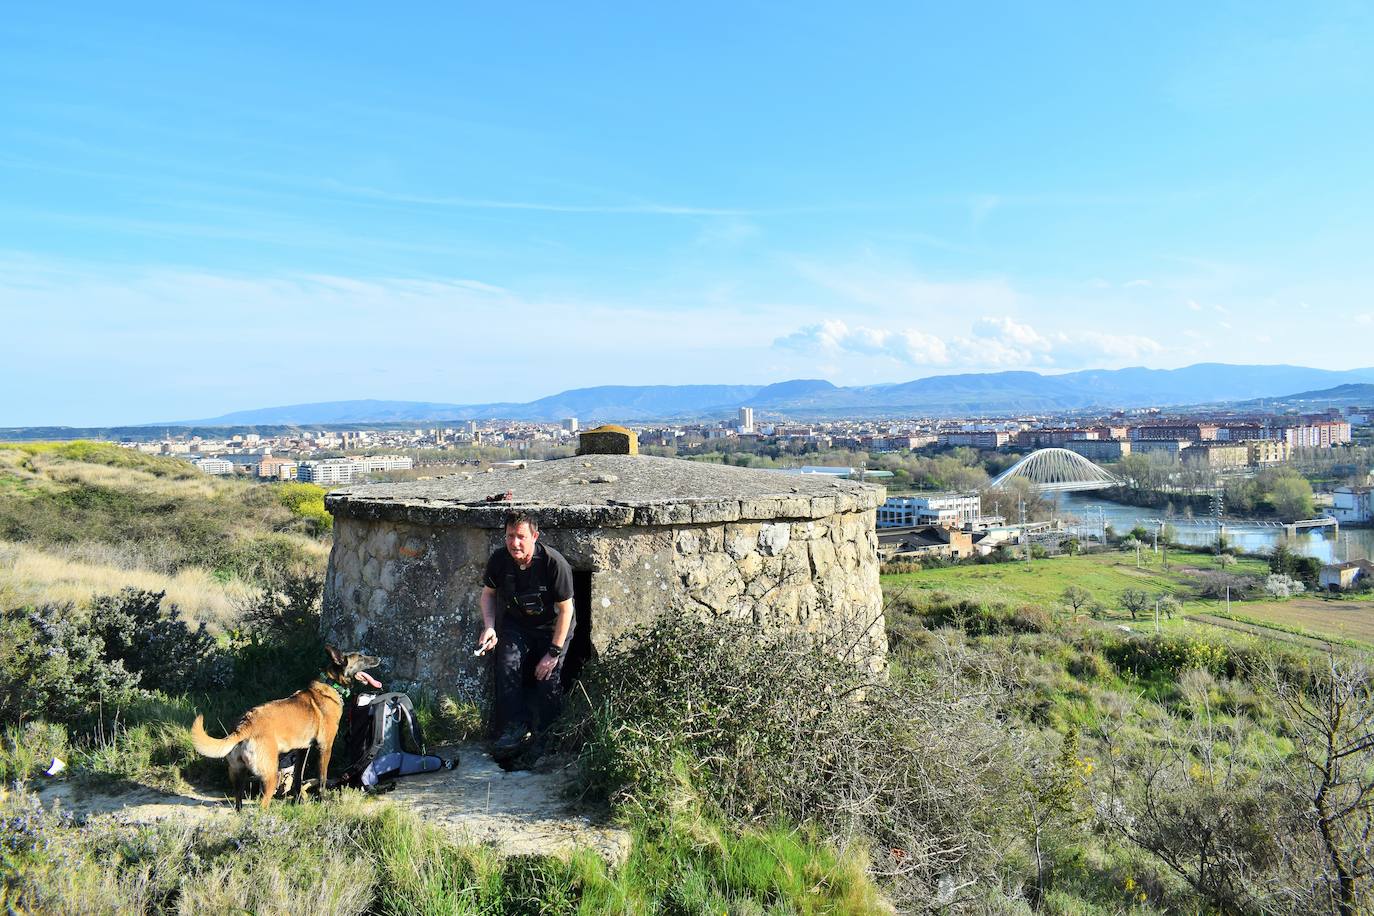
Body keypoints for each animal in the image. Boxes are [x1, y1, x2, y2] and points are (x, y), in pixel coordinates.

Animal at [189, 645, 381, 807]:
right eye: (361, 657)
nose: (379, 657)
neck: (332, 684)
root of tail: (244, 725)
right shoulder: (324, 747)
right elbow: (322, 778)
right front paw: (323, 800)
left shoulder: (303, 750)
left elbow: (298, 779)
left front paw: (298, 801)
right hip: (270, 775)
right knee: (262, 806)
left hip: (239, 775)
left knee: (238, 805)